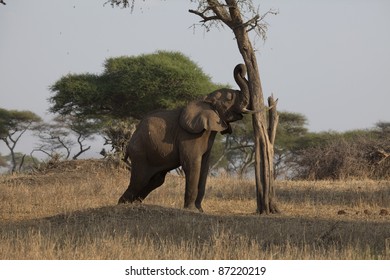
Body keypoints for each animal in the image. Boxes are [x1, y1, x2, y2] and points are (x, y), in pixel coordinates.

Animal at [118, 63, 250, 212]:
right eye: (229, 98)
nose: (241, 68)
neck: (206, 99)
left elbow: (204, 167)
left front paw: (200, 210)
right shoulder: (189, 136)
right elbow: (192, 165)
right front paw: (192, 209)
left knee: (155, 180)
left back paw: (133, 204)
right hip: (140, 152)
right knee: (140, 179)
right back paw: (123, 204)